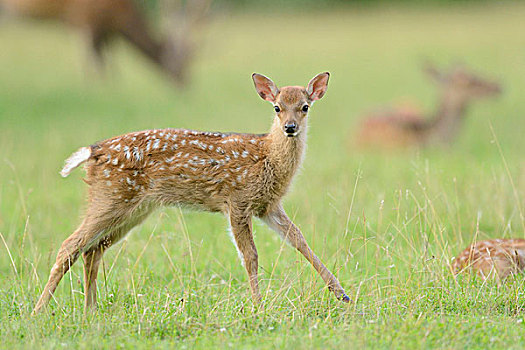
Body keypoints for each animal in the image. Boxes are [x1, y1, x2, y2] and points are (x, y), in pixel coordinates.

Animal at [2, 0, 212, 84]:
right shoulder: (85, 20)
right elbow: (92, 62)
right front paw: (92, 88)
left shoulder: (107, 32)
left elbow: (109, 63)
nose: (186, 85)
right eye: (180, 63)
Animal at [31, 72, 352, 316]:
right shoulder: (237, 201)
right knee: (70, 245)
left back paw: (91, 310)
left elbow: (299, 239)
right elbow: (250, 256)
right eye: (276, 107)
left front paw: (341, 293)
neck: (267, 156)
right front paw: (258, 307)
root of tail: (92, 151)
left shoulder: (268, 206)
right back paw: (39, 310)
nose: (290, 127)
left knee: (93, 249)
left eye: (305, 106)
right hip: (112, 197)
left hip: (132, 208)